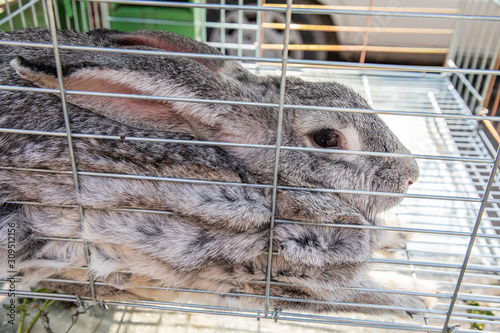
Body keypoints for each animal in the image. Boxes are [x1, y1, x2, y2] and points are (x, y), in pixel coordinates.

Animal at [0, 27, 432, 314]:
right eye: (328, 138)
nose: (412, 174)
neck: (271, 185)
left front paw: (404, 235)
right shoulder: (282, 278)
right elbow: (364, 294)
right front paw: (421, 295)